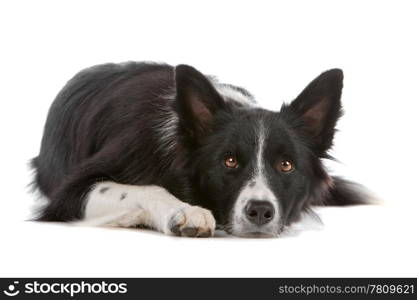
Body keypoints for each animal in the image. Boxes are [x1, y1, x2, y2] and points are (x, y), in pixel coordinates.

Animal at [30, 62, 366, 238]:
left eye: (286, 165)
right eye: (229, 161)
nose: (260, 211)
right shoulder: (69, 193)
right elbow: (145, 188)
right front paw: (186, 211)